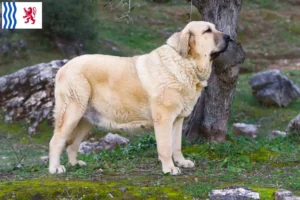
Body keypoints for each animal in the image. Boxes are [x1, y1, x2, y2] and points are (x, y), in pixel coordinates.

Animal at [48, 20, 230, 175]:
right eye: (207, 31)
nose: (229, 37)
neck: (185, 63)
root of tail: (63, 67)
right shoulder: (164, 118)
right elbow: (166, 146)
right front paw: (169, 168)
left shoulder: (178, 119)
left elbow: (176, 145)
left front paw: (181, 162)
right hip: (71, 112)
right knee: (56, 140)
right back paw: (55, 168)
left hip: (86, 119)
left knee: (72, 144)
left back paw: (75, 164)